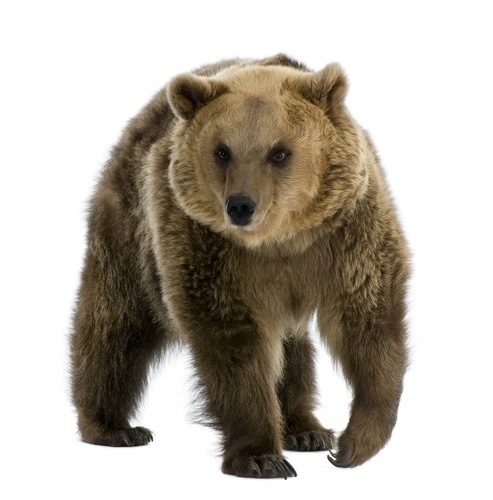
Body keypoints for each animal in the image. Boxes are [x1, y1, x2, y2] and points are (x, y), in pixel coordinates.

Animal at [69, 52, 408, 478]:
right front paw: (261, 457)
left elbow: (367, 322)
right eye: (222, 150)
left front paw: (352, 445)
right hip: (130, 230)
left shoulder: (347, 233)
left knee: (293, 347)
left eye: (279, 152)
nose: (241, 205)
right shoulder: (206, 245)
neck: (280, 238)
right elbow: (234, 345)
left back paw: (305, 430)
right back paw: (113, 427)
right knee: (115, 324)